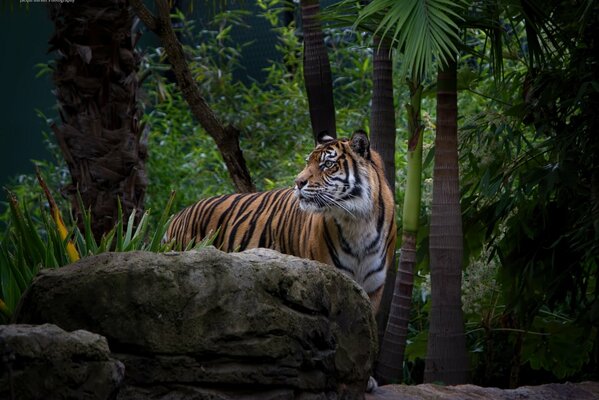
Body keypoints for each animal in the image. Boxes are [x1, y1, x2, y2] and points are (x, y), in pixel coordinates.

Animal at [166, 130, 396, 312]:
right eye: (308, 162)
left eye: (327, 164)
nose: (298, 182)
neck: (357, 221)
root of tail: (176, 215)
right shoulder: (331, 278)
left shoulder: (373, 289)